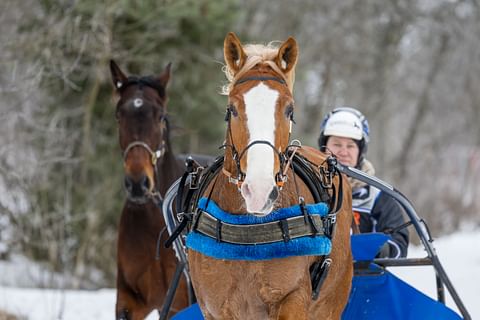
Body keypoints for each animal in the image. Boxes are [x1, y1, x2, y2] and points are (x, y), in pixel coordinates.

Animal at [188, 33, 352, 320]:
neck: (250, 234)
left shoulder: (293, 298)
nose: (260, 191)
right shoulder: (216, 308)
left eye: (290, 110)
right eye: (232, 108)